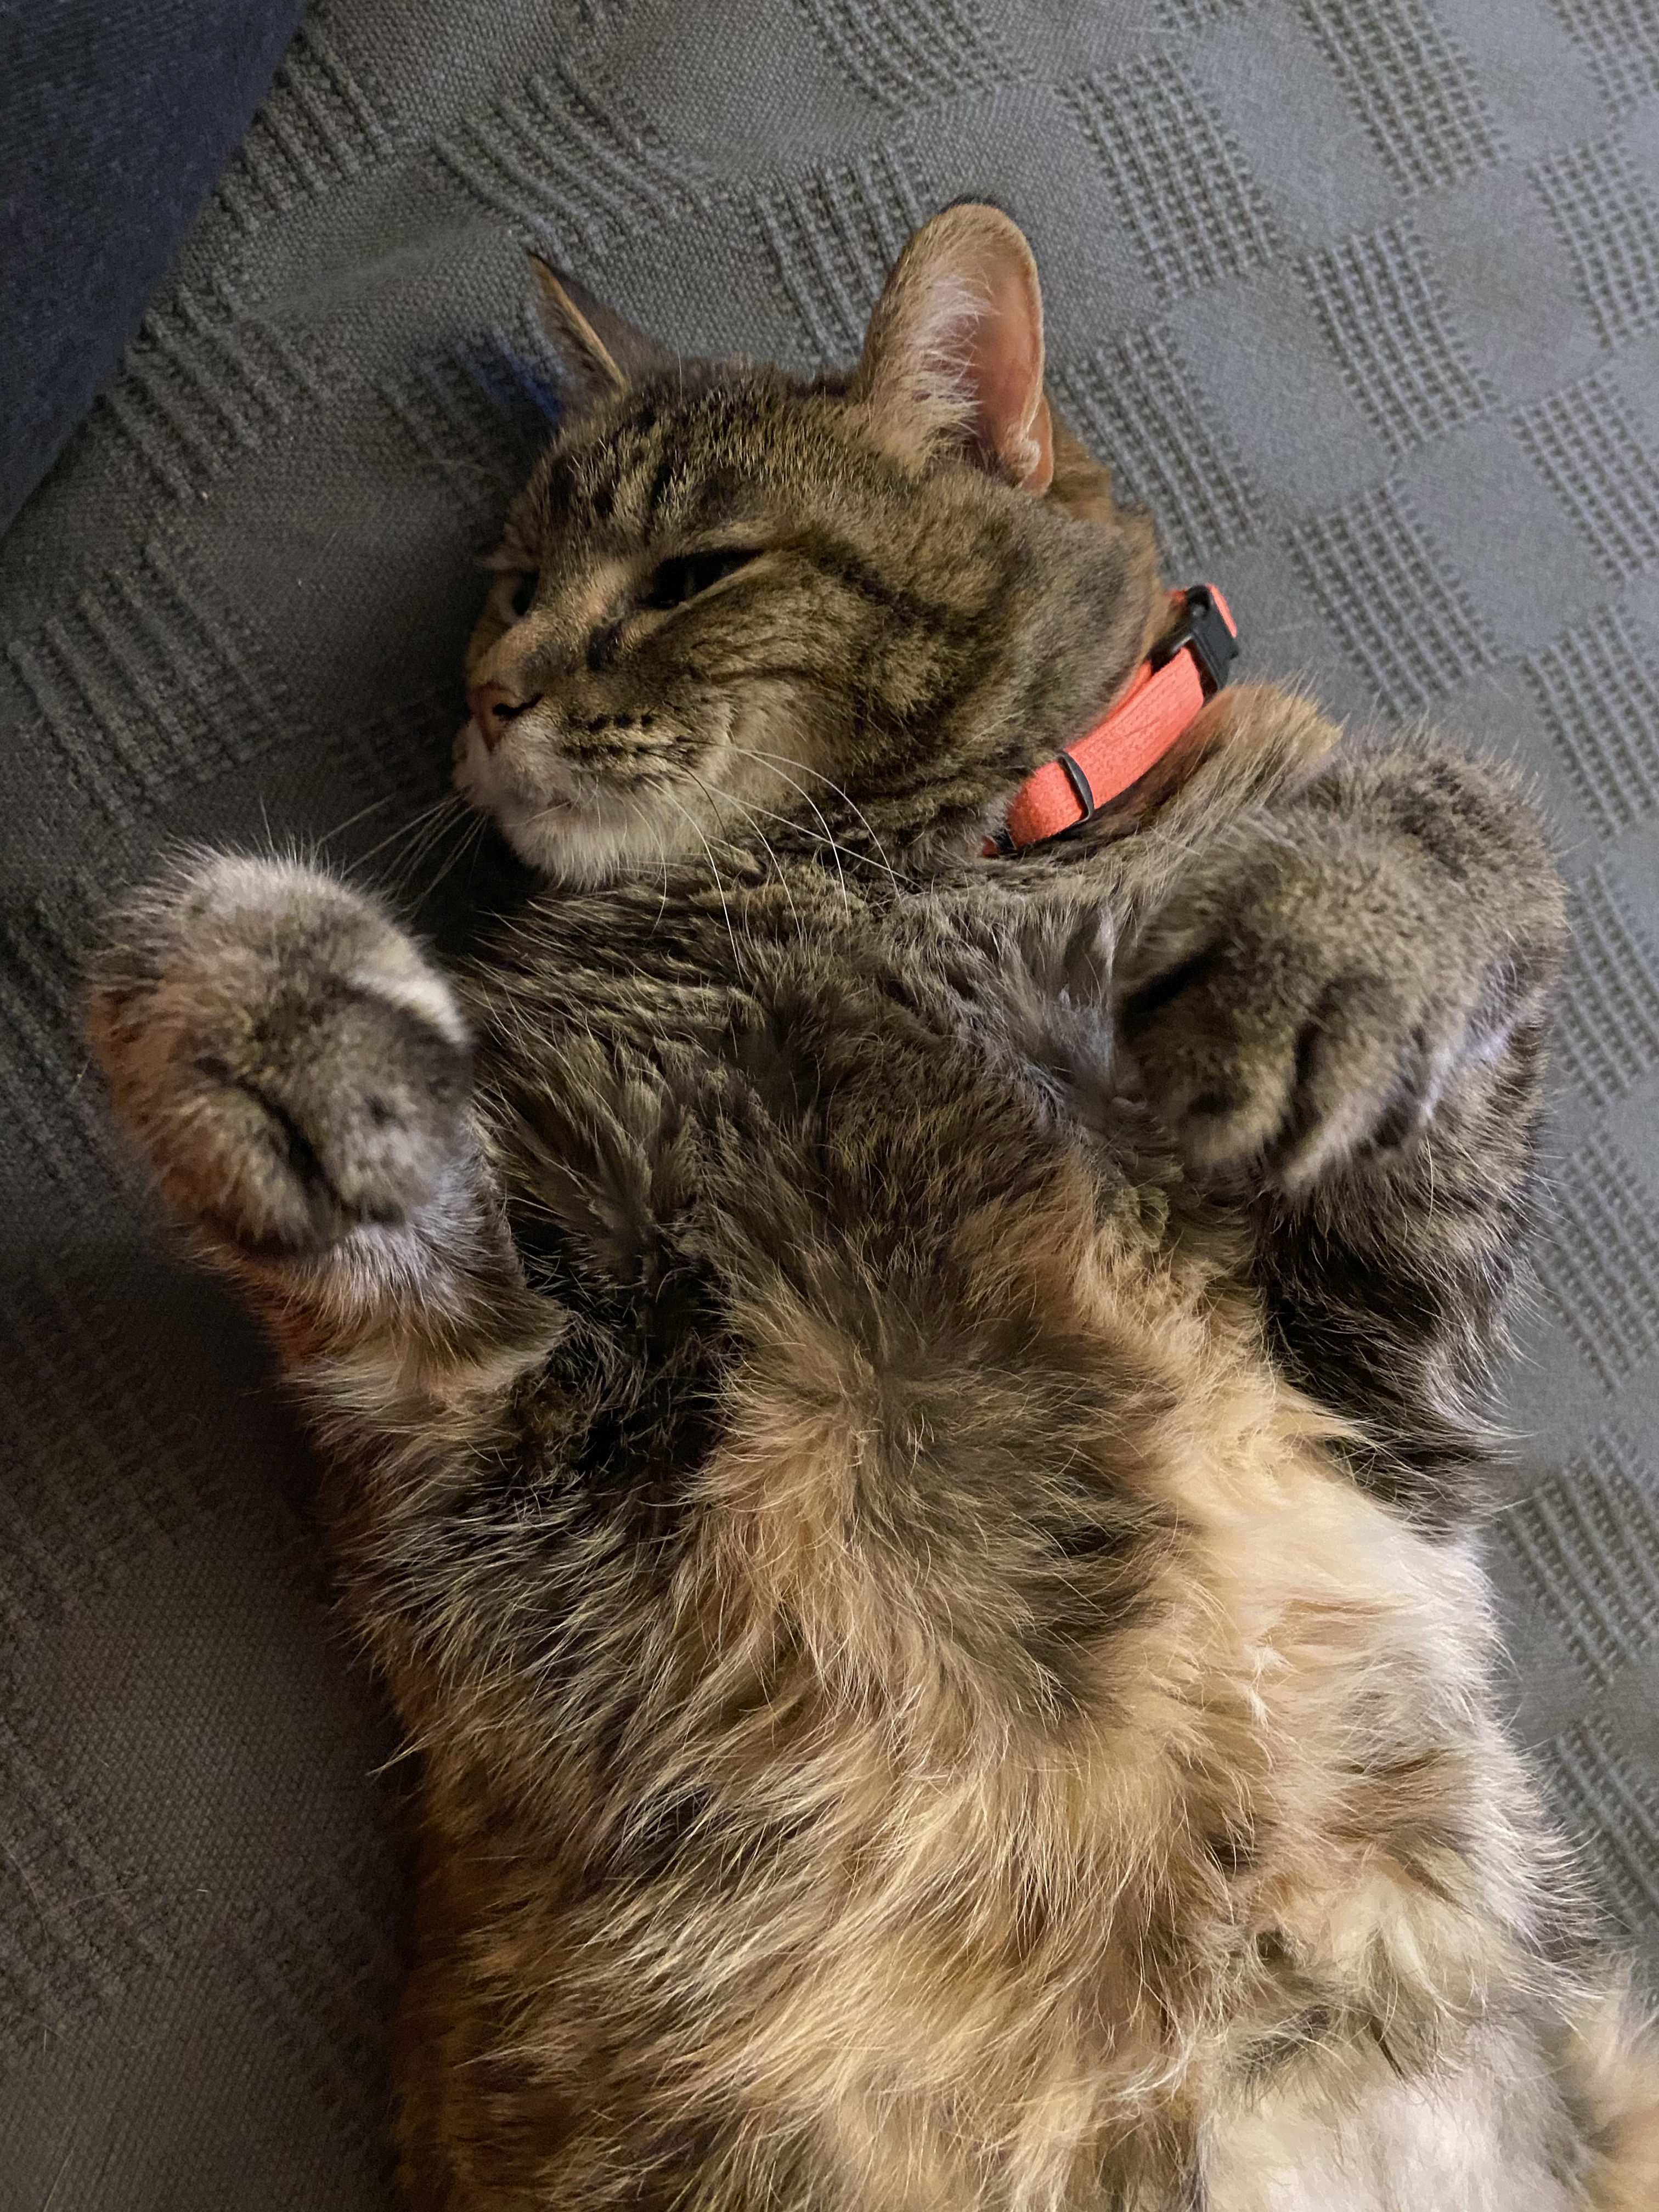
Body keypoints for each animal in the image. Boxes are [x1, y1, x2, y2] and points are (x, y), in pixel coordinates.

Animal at [88, 199, 1659, 2203]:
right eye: (510, 584)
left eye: (691, 572)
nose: (486, 698)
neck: (922, 870)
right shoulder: (532, 1432)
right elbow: (310, 1118)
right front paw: (277, 1020)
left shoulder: (1381, 1354)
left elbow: (1472, 812)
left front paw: (1331, 936)